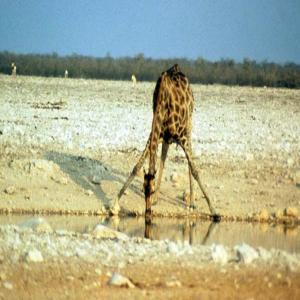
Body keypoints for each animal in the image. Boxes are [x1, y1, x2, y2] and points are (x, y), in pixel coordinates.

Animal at [111, 63, 219, 220]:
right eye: (144, 190)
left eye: (150, 190)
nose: (148, 213)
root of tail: (176, 67)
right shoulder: (155, 134)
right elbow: (137, 166)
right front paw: (114, 204)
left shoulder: (181, 136)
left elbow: (194, 170)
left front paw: (214, 211)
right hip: (167, 138)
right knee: (163, 157)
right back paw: (158, 198)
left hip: (189, 123)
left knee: (188, 160)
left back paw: (192, 202)